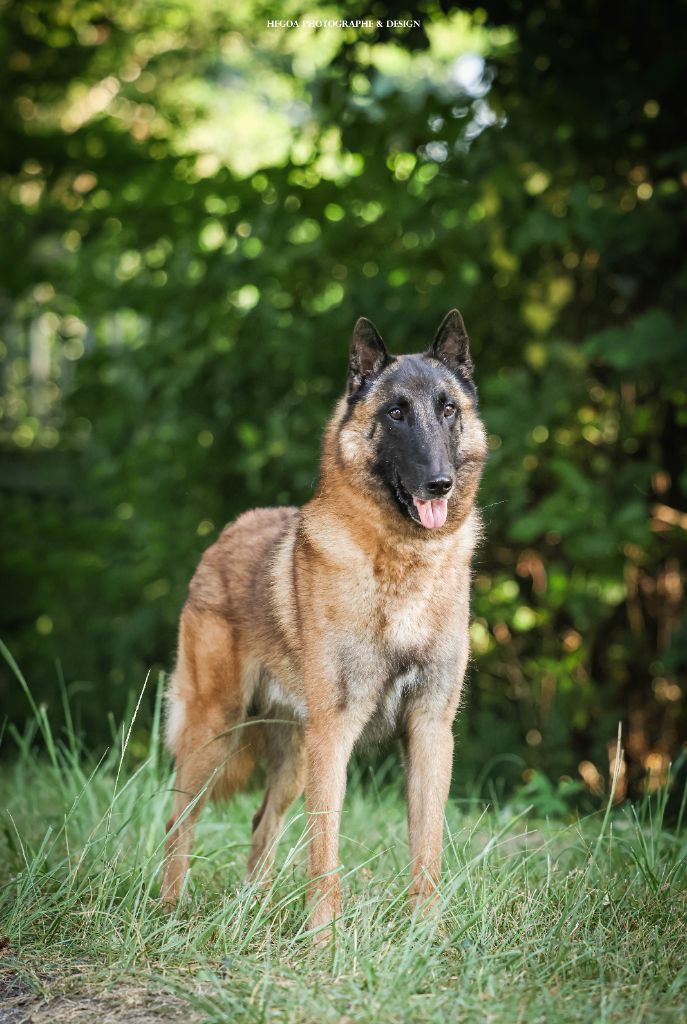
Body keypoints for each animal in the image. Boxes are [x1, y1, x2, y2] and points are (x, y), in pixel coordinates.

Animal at [162, 309, 489, 937]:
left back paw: (253, 912)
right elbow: (325, 853)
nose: (439, 482)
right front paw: (323, 942)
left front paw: (426, 937)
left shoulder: (430, 731)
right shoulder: (333, 735)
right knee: (178, 820)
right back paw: (168, 911)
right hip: (217, 731)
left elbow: (427, 849)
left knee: (262, 824)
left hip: (291, 757)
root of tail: (225, 533)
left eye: (448, 409)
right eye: (395, 413)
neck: (401, 561)